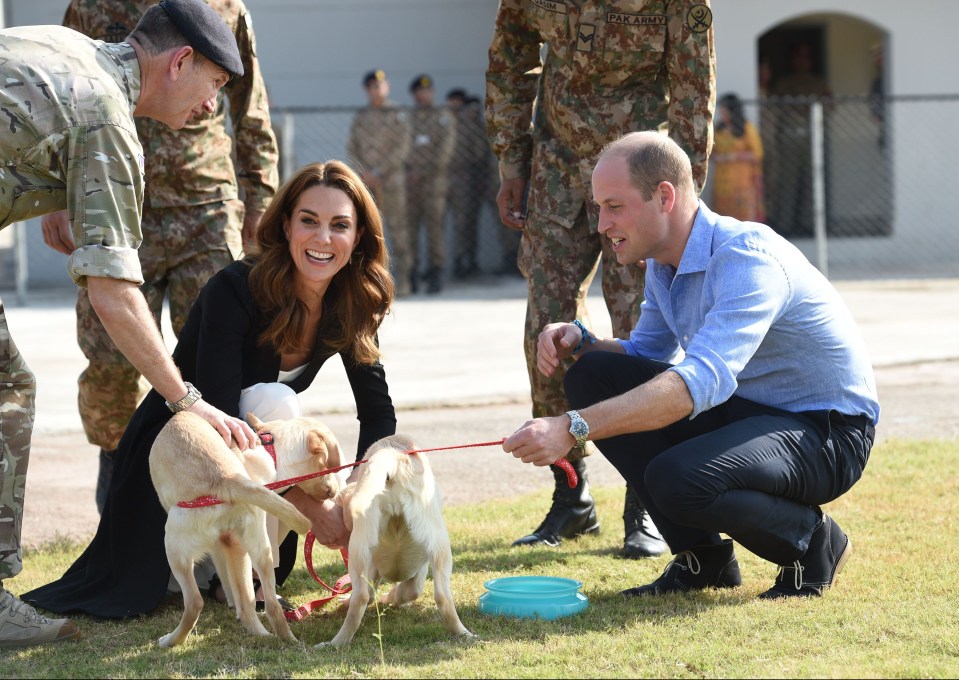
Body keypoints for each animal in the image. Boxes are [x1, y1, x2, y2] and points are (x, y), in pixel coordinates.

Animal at [148, 410, 344, 648]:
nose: (335, 491)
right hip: (260, 548)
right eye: (327, 465)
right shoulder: (228, 543)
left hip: (174, 546)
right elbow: (233, 585)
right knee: (268, 604)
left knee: (195, 602)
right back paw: (280, 637)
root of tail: (226, 479)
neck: (268, 449)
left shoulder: (221, 545)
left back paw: (170, 640)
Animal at [320, 432, 474, 644]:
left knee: (361, 596)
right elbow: (407, 592)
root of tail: (393, 457)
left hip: (359, 550)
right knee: (443, 596)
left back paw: (337, 641)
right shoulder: (418, 571)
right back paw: (464, 633)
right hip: (440, 547)